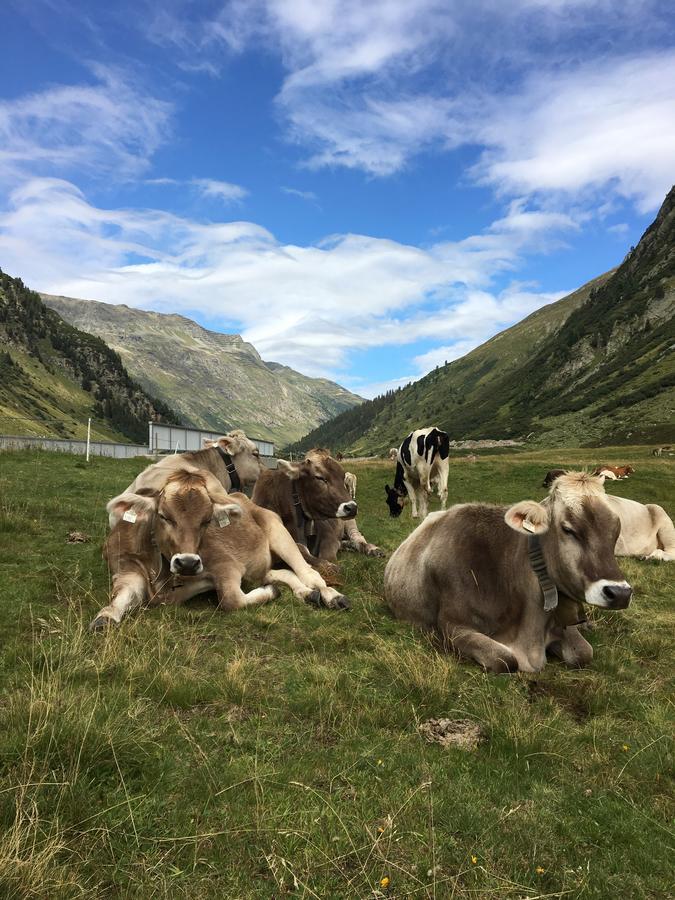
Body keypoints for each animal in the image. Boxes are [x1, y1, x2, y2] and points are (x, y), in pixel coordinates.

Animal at [386, 472, 632, 676]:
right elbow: (505, 660)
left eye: (616, 530)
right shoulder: (451, 625)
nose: (620, 593)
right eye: (568, 529)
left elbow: (584, 653)